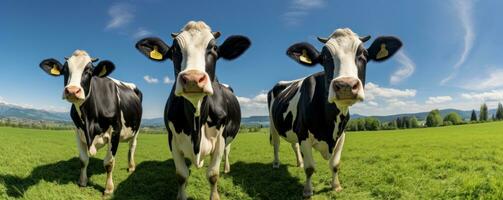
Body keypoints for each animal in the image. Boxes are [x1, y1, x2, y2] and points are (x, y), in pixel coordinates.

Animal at [38, 50, 142, 195]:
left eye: (89, 71)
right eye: (65, 70)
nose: (72, 90)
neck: (90, 121)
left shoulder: (115, 130)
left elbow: (109, 163)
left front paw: (108, 189)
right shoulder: (78, 131)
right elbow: (83, 160)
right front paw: (82, 182)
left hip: (136, 130)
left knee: (132, 146)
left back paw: (131, 167)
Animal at [135, 21, 251, 199]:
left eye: (214, 48)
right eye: (175, 50)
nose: (193, 79)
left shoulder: (220, 138)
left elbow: (213, 175)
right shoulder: (172, 139)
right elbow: (182, 175)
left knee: (227, 151)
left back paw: (226, 168)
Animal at [270, 28, 404, 198]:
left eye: (363, 54)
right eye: (325, 57)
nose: (346, 85)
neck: (328, 125)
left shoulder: (341, 135)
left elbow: (335, 164)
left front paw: (336, 186)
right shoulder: (303, 134)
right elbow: (310, 168)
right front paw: (307, 190)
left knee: (294, 145)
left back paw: (299, 163)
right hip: (273, 124)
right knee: (276, 144)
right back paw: (276, 164)